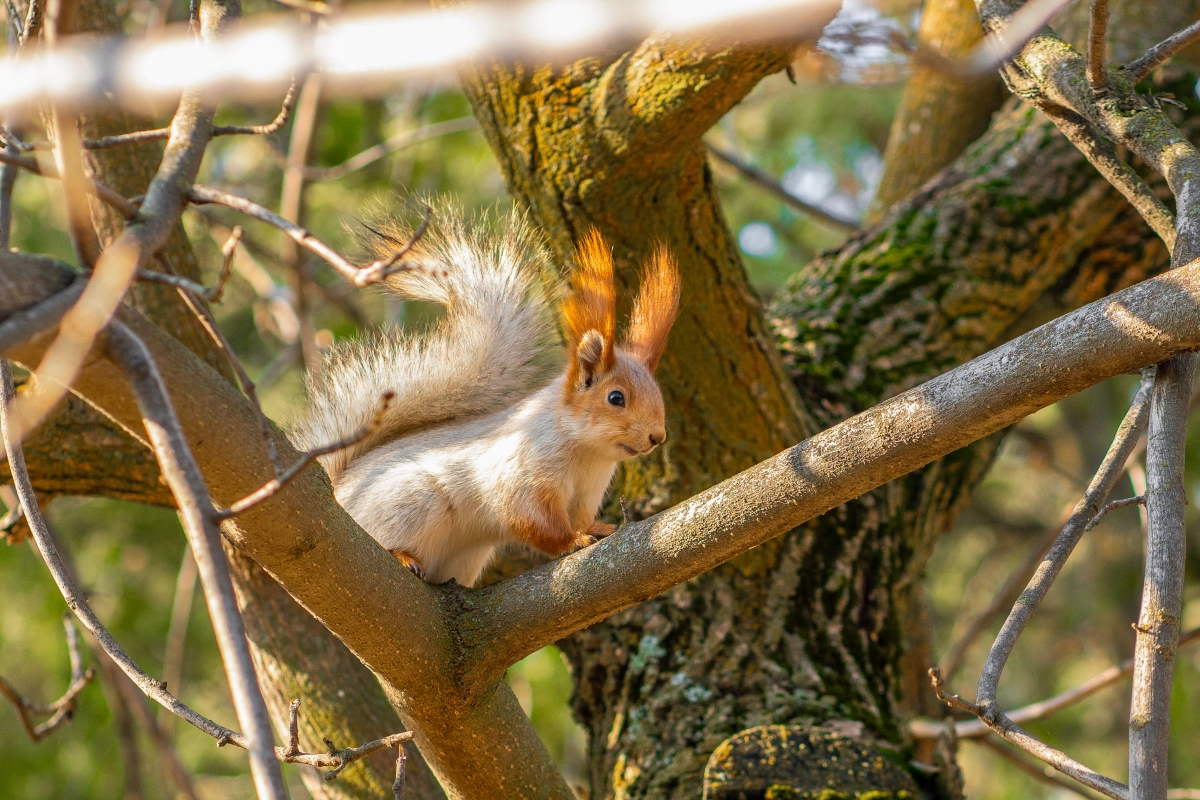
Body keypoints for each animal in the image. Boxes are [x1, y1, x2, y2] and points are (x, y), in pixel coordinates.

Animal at [295, 208, 681, 587]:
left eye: (657, 392)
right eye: (615, 397)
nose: (657, 436)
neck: (588, 453)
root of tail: (340, 497)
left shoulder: (588, 491)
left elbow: (581, 517)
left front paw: (594, 528)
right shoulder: (522, 472)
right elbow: (530, 520)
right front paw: (571, 541)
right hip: (410, 502)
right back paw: (401, 555)